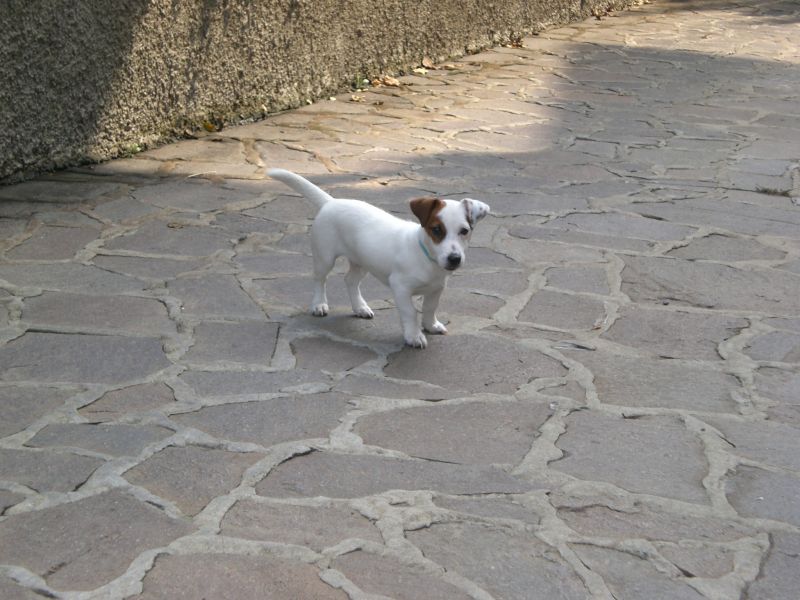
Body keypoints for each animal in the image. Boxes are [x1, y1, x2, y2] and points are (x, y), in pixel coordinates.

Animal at [268, 169, 490, 346]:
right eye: (436, 230)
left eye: (464, 231)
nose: (454, 258)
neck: (426, 257)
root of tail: (331, 202)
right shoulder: (400, 288)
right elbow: (410, 312)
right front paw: (414, 336)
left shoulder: (436, 288)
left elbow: (429, 307)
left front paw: (431, 325)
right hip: (325, 256)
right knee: (320, 279)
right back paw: (319, 304)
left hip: (361, 261)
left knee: (350, 280)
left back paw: (360, 307)